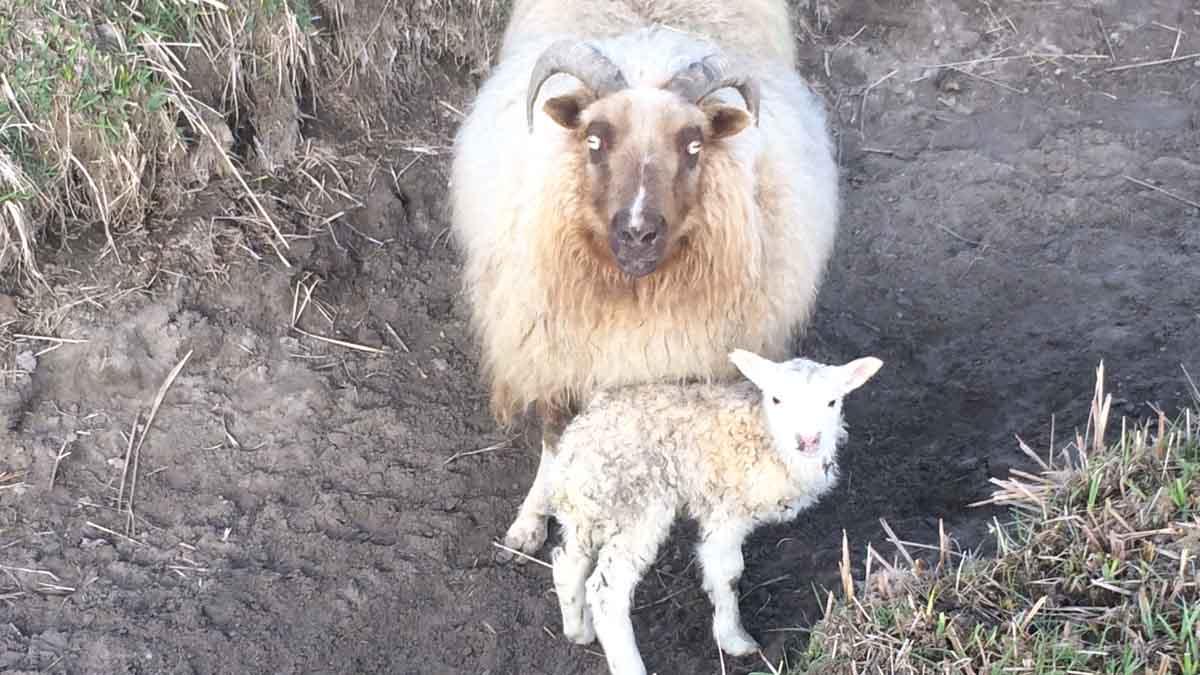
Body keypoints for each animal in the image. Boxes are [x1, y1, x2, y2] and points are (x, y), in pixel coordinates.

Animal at [446, 0, 840, 557]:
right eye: (593, 139)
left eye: (694, 145)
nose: (637, 233)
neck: (632, 292)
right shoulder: (553, 353)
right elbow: (554, 438)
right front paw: (531, 521)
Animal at [542, 345, 883, 672]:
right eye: (777, 399)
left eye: (832, 402)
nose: (809, 440)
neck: (764, 435)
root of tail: (576, 444)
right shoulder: (727, 511)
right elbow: (727, 572)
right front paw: (734, 638)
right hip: (638, 507)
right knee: (607, 591)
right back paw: (628, 664)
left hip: (588, 507)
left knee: (566, 561)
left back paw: (578, 629)